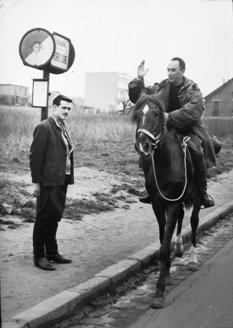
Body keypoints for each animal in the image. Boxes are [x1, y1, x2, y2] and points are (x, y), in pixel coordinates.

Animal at [132, 93, 201, 308]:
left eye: (156, 114)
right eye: (137, 114)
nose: (142, 145)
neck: (166, 161)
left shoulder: (172, 203)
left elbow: (163, 248)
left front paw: (159, 292)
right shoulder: (158, 204)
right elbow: (164, 239)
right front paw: (167, 273)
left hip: (196, 198)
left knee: (194, 221)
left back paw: (193, 259)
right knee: (181, 218)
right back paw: (178, 247)